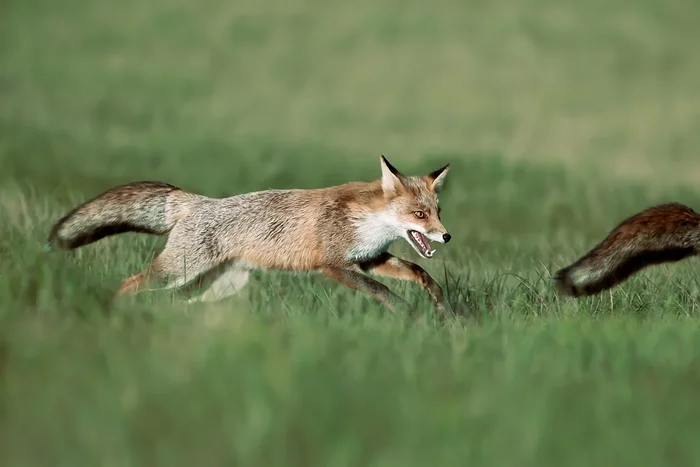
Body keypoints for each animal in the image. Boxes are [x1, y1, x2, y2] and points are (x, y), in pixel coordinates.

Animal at [46, 156, 454, 315]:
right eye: (420, 215)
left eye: (438, 212)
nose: (446, 237)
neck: (367, 222)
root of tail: (197, 201)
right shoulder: (334, 265)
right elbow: (383, 292)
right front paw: (409, 314)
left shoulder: (369, 259)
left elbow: (419, 273)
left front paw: (438, 304)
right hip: (177, 272)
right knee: (130, 284)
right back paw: (114, 312)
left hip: (213, 285)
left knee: (175, 303)